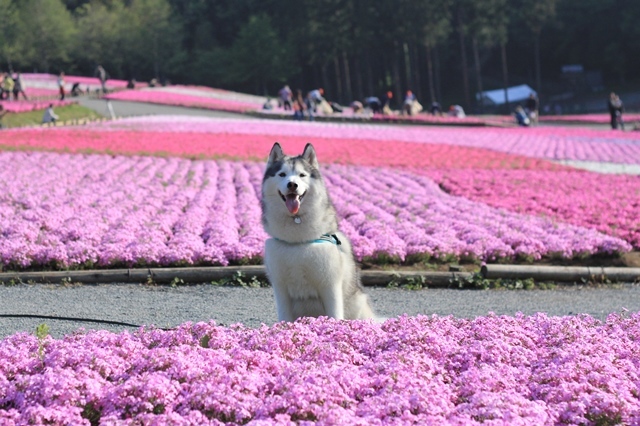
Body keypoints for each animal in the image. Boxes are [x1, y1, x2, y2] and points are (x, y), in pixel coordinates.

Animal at [262, 142, 378, 320]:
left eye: (302, 175)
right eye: (282, 174)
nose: (292, 184)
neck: (298, 242)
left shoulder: (330, 285)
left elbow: (335, 315)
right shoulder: (280, 288)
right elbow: (284, 318)